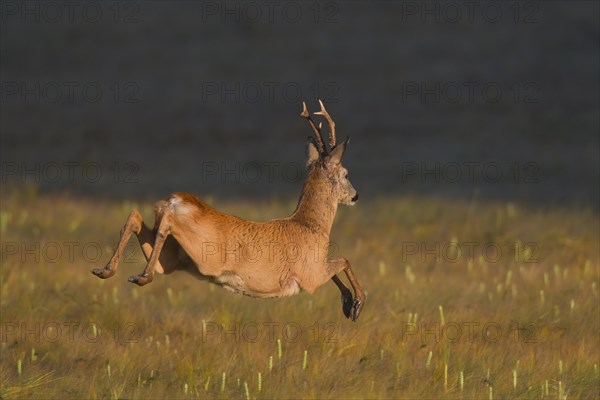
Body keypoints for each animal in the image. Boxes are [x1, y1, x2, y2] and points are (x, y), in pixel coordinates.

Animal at [92, 101, 366, 322]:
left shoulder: (315, 269)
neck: (310, 224)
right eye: (346, 174)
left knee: (136, 216)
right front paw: (356, 304)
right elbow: (344, 260)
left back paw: (107, 270)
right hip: (205, 256)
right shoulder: (310, 276)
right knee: (164, 222)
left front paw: (347, 303)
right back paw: (140, 275)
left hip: (171, 259)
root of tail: (174, 200)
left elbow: (339, 266)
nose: (355, 196)